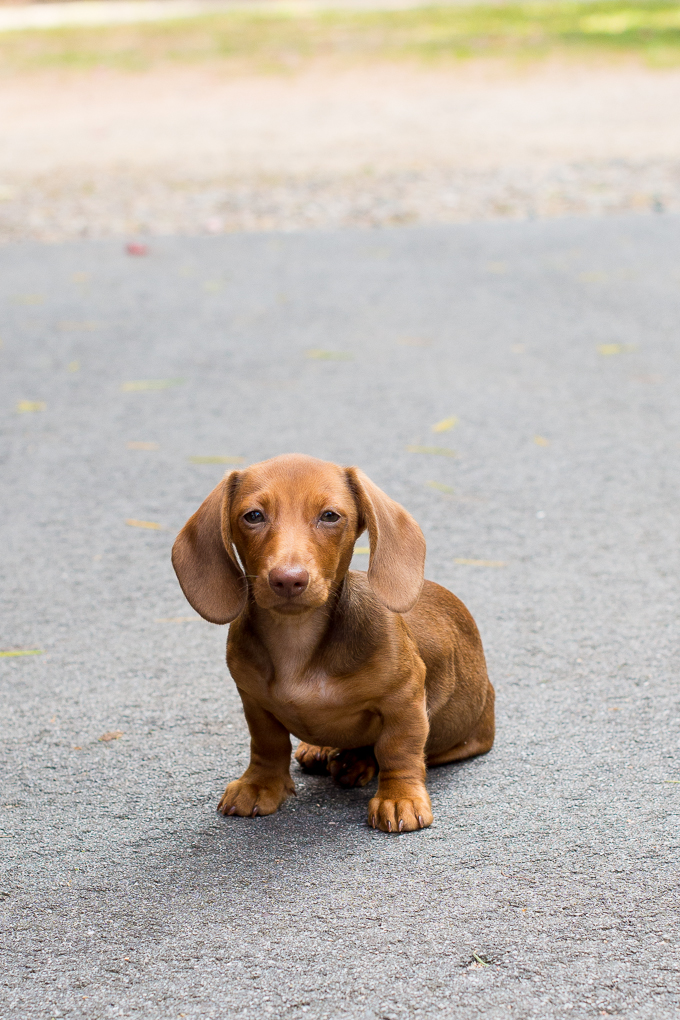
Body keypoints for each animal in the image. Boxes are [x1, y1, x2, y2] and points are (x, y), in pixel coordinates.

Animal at [173, 454, 495, 828]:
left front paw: (399, 797)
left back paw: (355, 762)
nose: (288, 579)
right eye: (253, 516)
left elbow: (398, 748)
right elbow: (267, 744)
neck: (296, 640)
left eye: (329, 516)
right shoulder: (253, 700)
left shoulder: (405, 698)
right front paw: (259, 785)